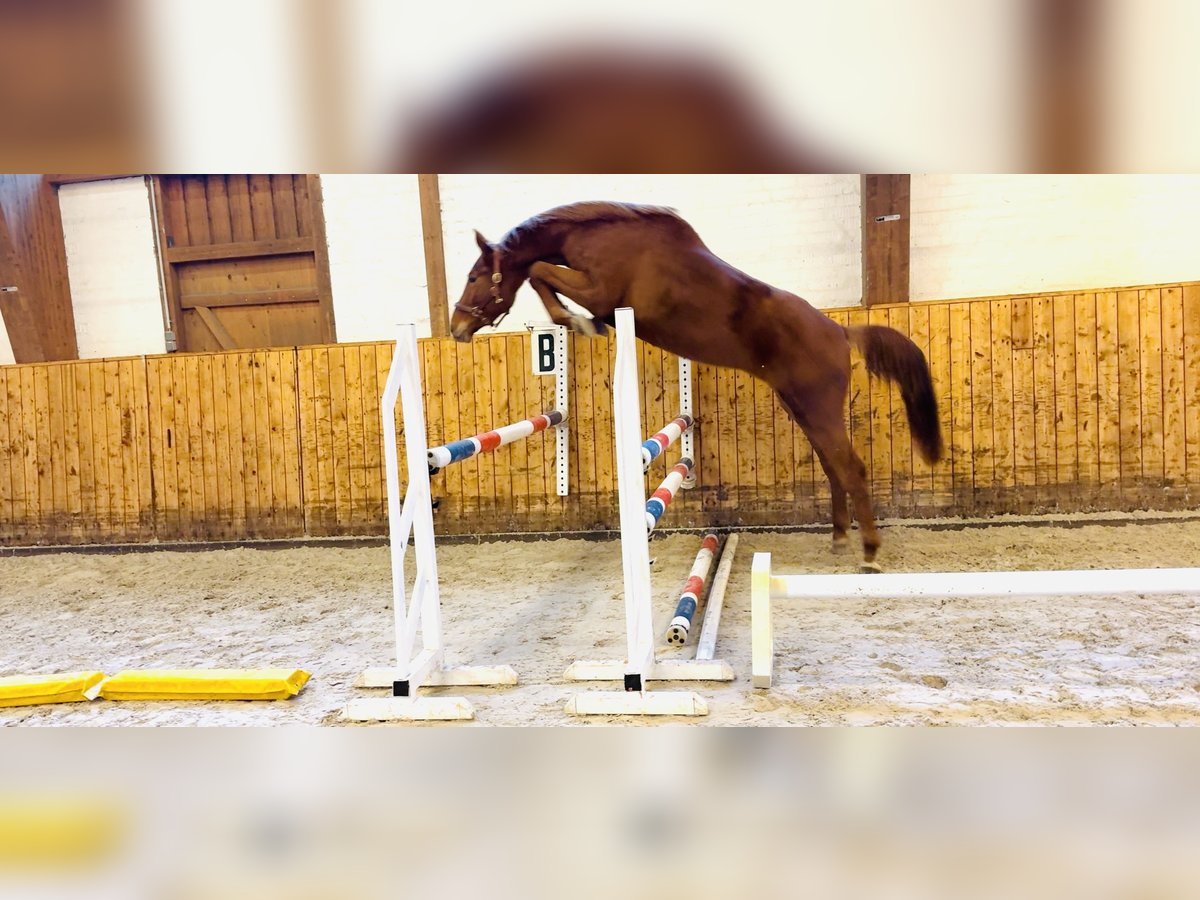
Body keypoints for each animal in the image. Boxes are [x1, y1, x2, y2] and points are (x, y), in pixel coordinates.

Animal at [449, 201, 943, 571]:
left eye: (475, 277)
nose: (456, 326)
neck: (605, 238)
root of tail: (840, 331)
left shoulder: (599, 291)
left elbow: (537, 268)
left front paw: (577, 322)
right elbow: (539, 271)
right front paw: (578, 322)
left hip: (817, 410)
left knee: (852, 469)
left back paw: (870, 554)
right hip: (804, 410)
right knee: (833, 468)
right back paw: (840, 539)